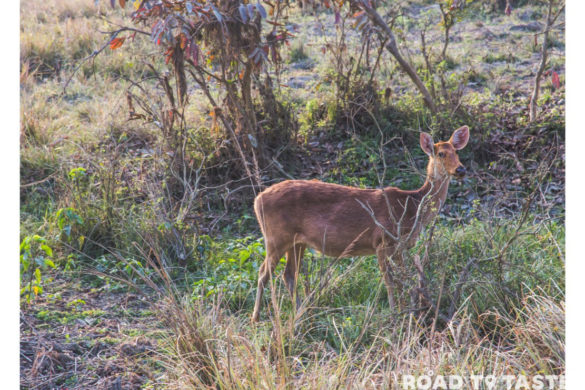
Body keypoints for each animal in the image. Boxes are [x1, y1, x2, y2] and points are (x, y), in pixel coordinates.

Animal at [251, 126, 470, 322]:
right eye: (441, 153)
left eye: (457, 151)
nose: (461, 169)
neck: (411, 208)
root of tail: (257, 200)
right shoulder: (383, 241)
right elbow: (390, 282)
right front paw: (394, 315)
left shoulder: (399, 247)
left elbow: (403, 280)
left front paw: (407, 311)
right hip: (275, 237)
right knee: (263, 273)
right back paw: (256, 318)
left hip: (297, 242)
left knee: (288, 274)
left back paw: (300, 313)